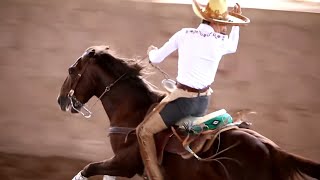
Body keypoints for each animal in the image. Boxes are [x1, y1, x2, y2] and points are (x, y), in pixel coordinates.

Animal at [56, 45, 318, 180]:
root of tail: (275, 151)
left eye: (71, 70)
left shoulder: (124, 163)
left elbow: (89, 168)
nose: (61, 100)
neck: (133, 112)